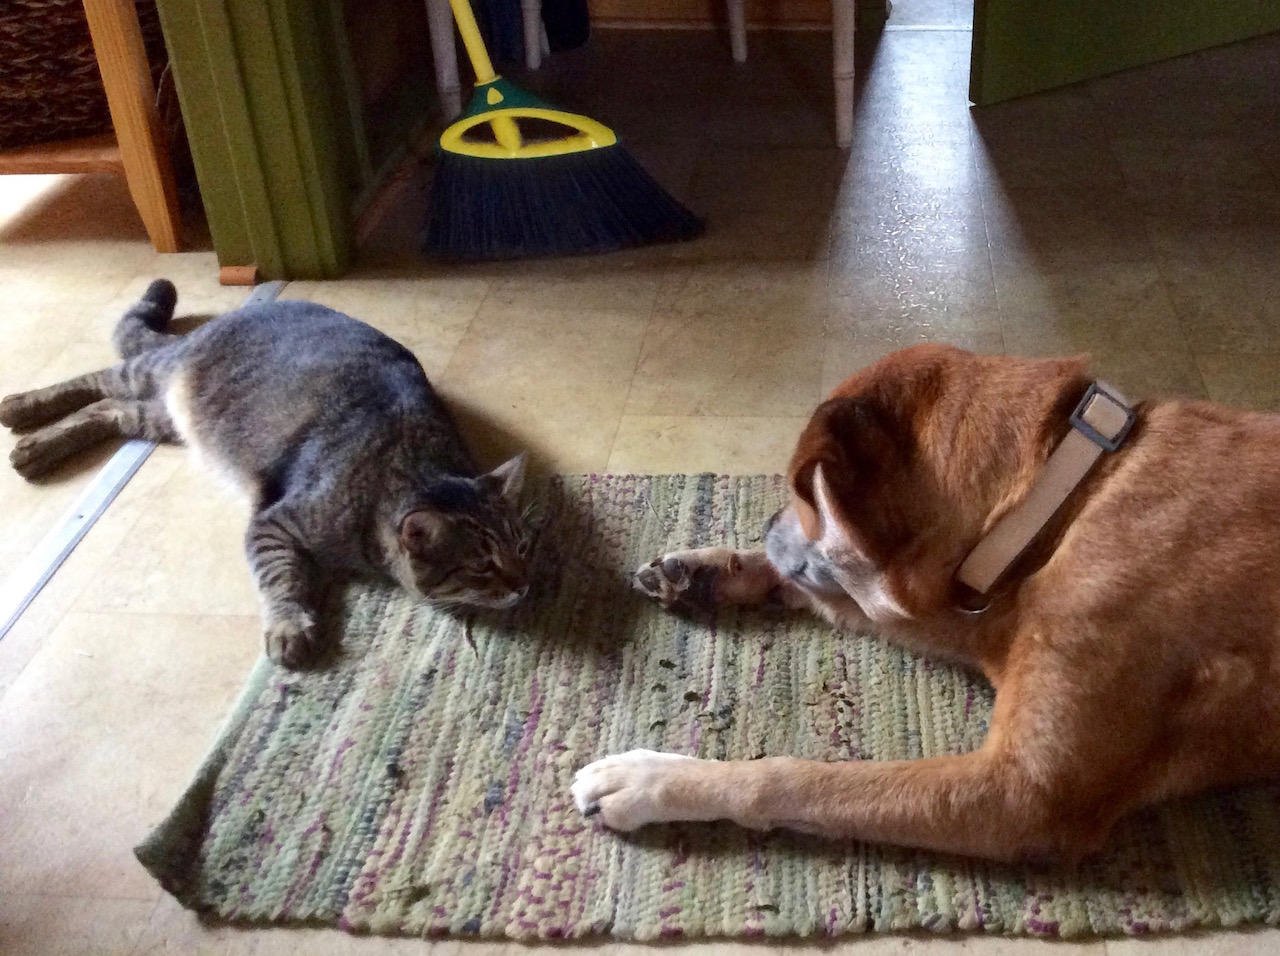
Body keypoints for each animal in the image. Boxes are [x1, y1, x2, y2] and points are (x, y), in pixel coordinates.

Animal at [0, 276, 529, 665]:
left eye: (521, 548)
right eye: (482, 565)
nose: (523, 585)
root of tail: (234, 313)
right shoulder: (273, 523)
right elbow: (281, 578)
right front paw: (290, 625)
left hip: (166, 417)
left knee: (108, 409)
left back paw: (38, 446)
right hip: (151, 372)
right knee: (97, 379)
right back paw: (23, 412)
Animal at [573, 345, 1280, 865]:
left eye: (802, 492)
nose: (770, 519)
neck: (1064, 499)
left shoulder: (1022, 792)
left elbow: (796, 778)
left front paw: (649, 780)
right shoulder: (976, 612)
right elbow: (835, 598)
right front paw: (711, 572)